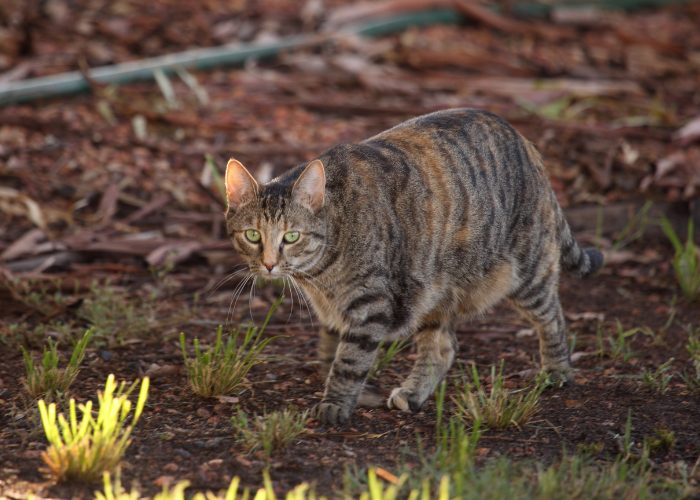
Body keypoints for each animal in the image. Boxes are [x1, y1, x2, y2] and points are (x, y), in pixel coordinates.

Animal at [223, 107, 600, 424]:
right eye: (253, 235)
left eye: (291, 237)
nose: (269, 264)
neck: (321, 274)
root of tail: (524, 141)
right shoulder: (337, 310)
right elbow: (330, 351)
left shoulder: (370, 303)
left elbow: (349, 361)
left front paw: (335, 403)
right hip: (430, 290)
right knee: (444, 347)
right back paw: (415, 392)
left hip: (527, 271)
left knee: (553, 317)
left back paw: (557, 371)